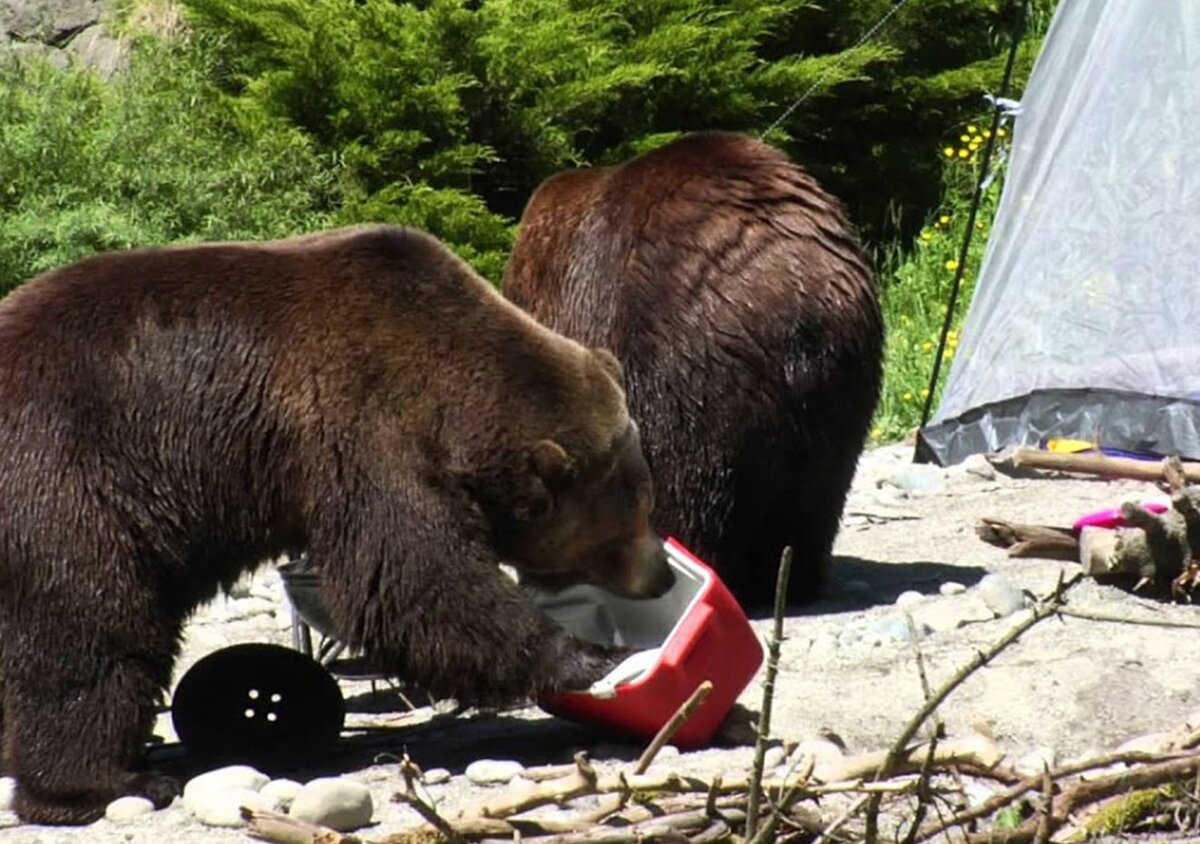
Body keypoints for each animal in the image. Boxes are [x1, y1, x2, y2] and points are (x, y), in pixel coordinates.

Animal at [0, 225, 676, 825]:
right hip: (68, 476)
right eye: (633, 515)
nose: (663, 576)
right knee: (93, 624)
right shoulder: (359, 426)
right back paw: (107, 782)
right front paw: (596, 658)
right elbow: (414, 580)